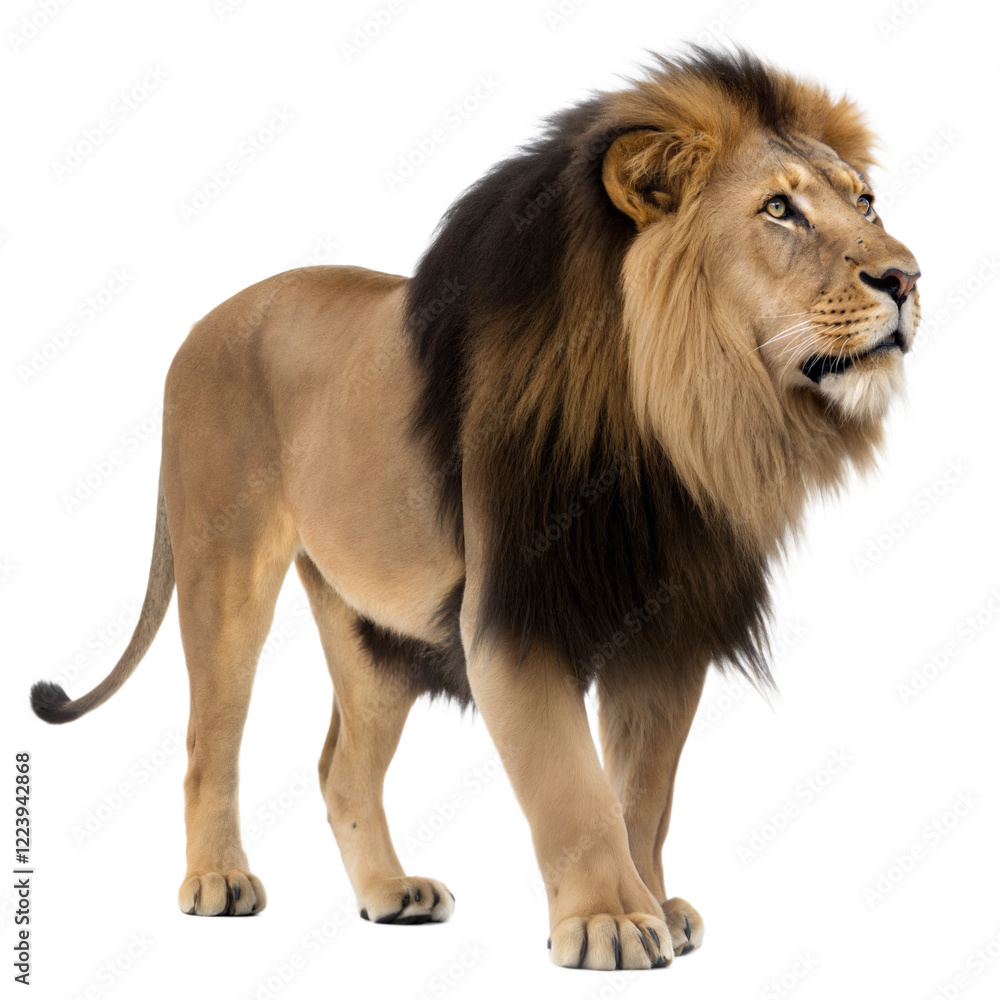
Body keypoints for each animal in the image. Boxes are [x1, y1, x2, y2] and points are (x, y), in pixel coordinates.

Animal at [31, 48, 919, 970]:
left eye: (864, 201)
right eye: (779, 209)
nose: (905, 277)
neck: (672, 420)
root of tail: (199, 325)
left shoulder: (668, 627)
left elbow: (643, 792)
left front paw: (653, 903)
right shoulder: (512, 613)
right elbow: (572, 786)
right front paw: (609, 920)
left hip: (373, 626)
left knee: (342, 768)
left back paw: (392, 893)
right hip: (226, 567)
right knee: (210, 741)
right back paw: (218, 881)